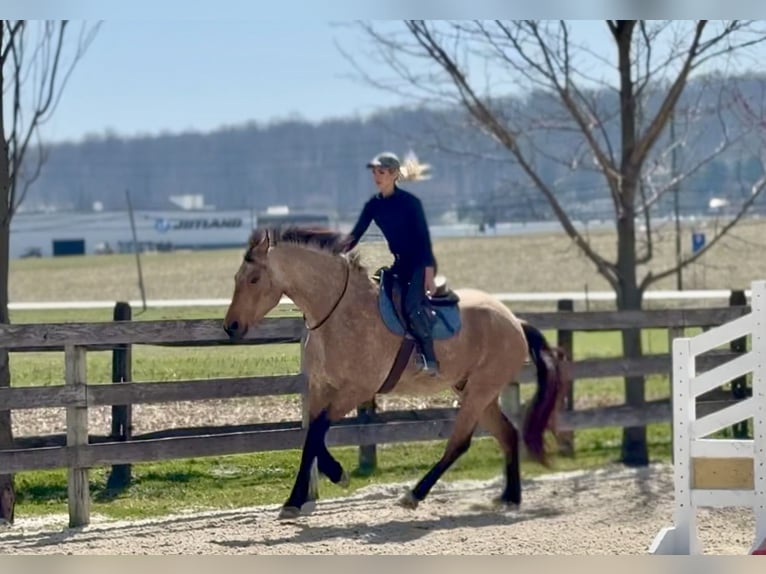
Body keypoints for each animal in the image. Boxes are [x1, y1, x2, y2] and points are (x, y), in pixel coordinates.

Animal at [223, 225, 570, 519]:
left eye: (253, 279)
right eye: (236, 277)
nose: (231, 327)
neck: (338, 313)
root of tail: (515, 322)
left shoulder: (356, 391)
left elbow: (318, 431)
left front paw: (336, 476)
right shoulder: (321, 389)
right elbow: (311, 438)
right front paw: (296, 500)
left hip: (479, 392)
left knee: (460, 443)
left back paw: (414, 495)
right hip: (475, 392)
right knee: (508, 434)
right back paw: (510, 497)